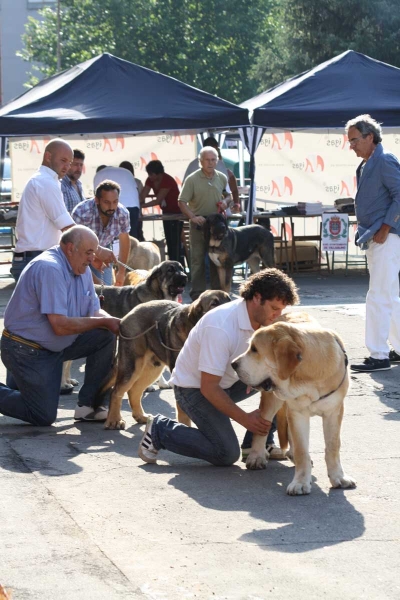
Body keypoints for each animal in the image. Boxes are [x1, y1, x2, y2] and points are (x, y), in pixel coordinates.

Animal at [101, 290, 230, 426]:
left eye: (229, 299)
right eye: (214, 304)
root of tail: (125, 318)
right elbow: (184, 410)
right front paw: (184, 425)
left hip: (152, 369)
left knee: (134, 391)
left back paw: (140, 416)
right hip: (132, 366)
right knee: (116, 391)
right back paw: (114, 420)